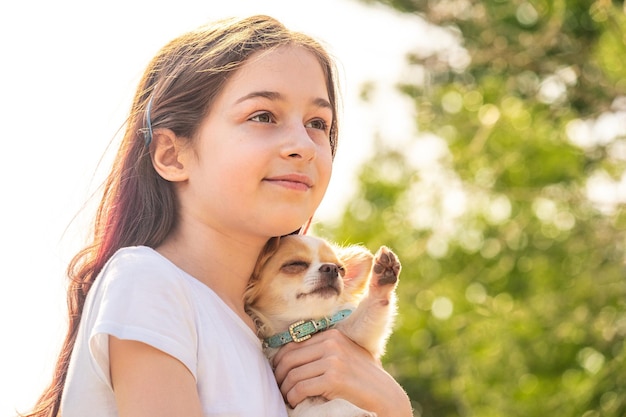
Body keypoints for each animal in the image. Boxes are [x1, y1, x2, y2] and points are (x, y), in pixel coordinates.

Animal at [244, 234, 400, 416]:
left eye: (341, 269)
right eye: (295, 264)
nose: (331, 269)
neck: (305, 327)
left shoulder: (356, 334)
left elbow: (368, 312)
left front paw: (382, 279)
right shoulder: (300, 407)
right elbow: (332, 405)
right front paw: (357, 411)